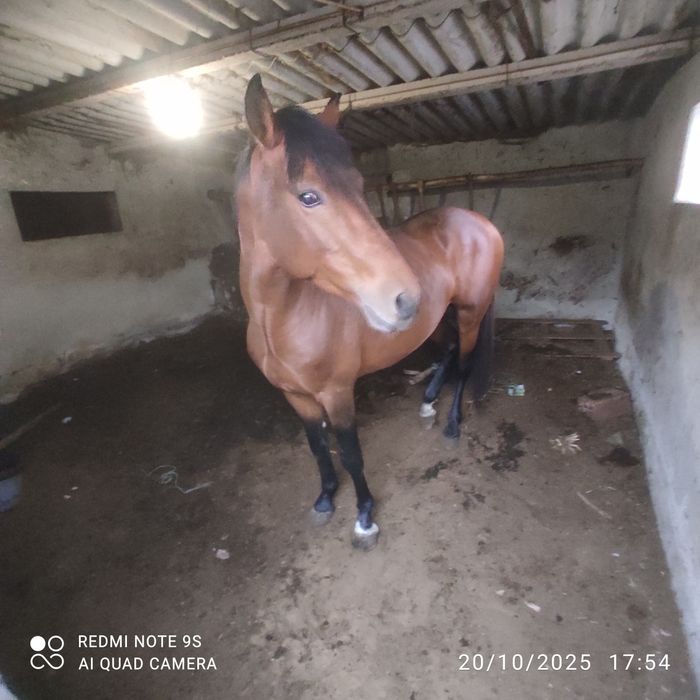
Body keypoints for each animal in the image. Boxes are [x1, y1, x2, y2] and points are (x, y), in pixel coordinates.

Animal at [234, 74, 504, 550]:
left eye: (360, 187)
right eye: (308, 196)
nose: (407, 299)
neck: (281, 318)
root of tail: (482, 224)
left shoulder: (338, 393)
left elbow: (351, 453)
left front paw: (364, 516)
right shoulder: (296, 397)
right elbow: (318, 448)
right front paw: (325, 498)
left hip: (471, 312)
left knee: (466, 362)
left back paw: (453, 424)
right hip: (440, 317)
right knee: (450, 350)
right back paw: (428, 402)